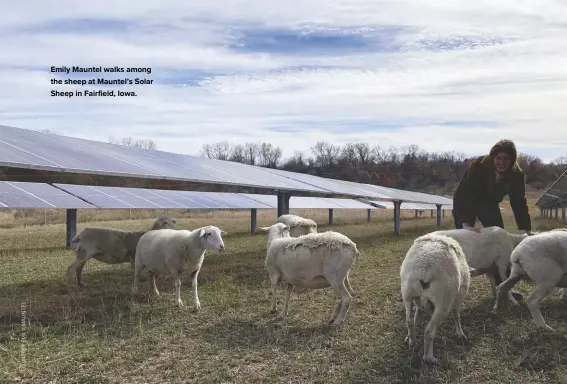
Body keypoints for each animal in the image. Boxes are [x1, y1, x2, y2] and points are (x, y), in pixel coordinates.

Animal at [400, 232, 480, 364]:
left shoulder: (419, 304)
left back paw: (412, 342)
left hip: (407, 294)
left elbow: (417, 318)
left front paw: (410, 337)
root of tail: (424, 268)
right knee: (429, 331)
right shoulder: (459, 298)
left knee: (409, 321)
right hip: (443, 303)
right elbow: (456, 315)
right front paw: (460, 333)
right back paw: (429, 358)